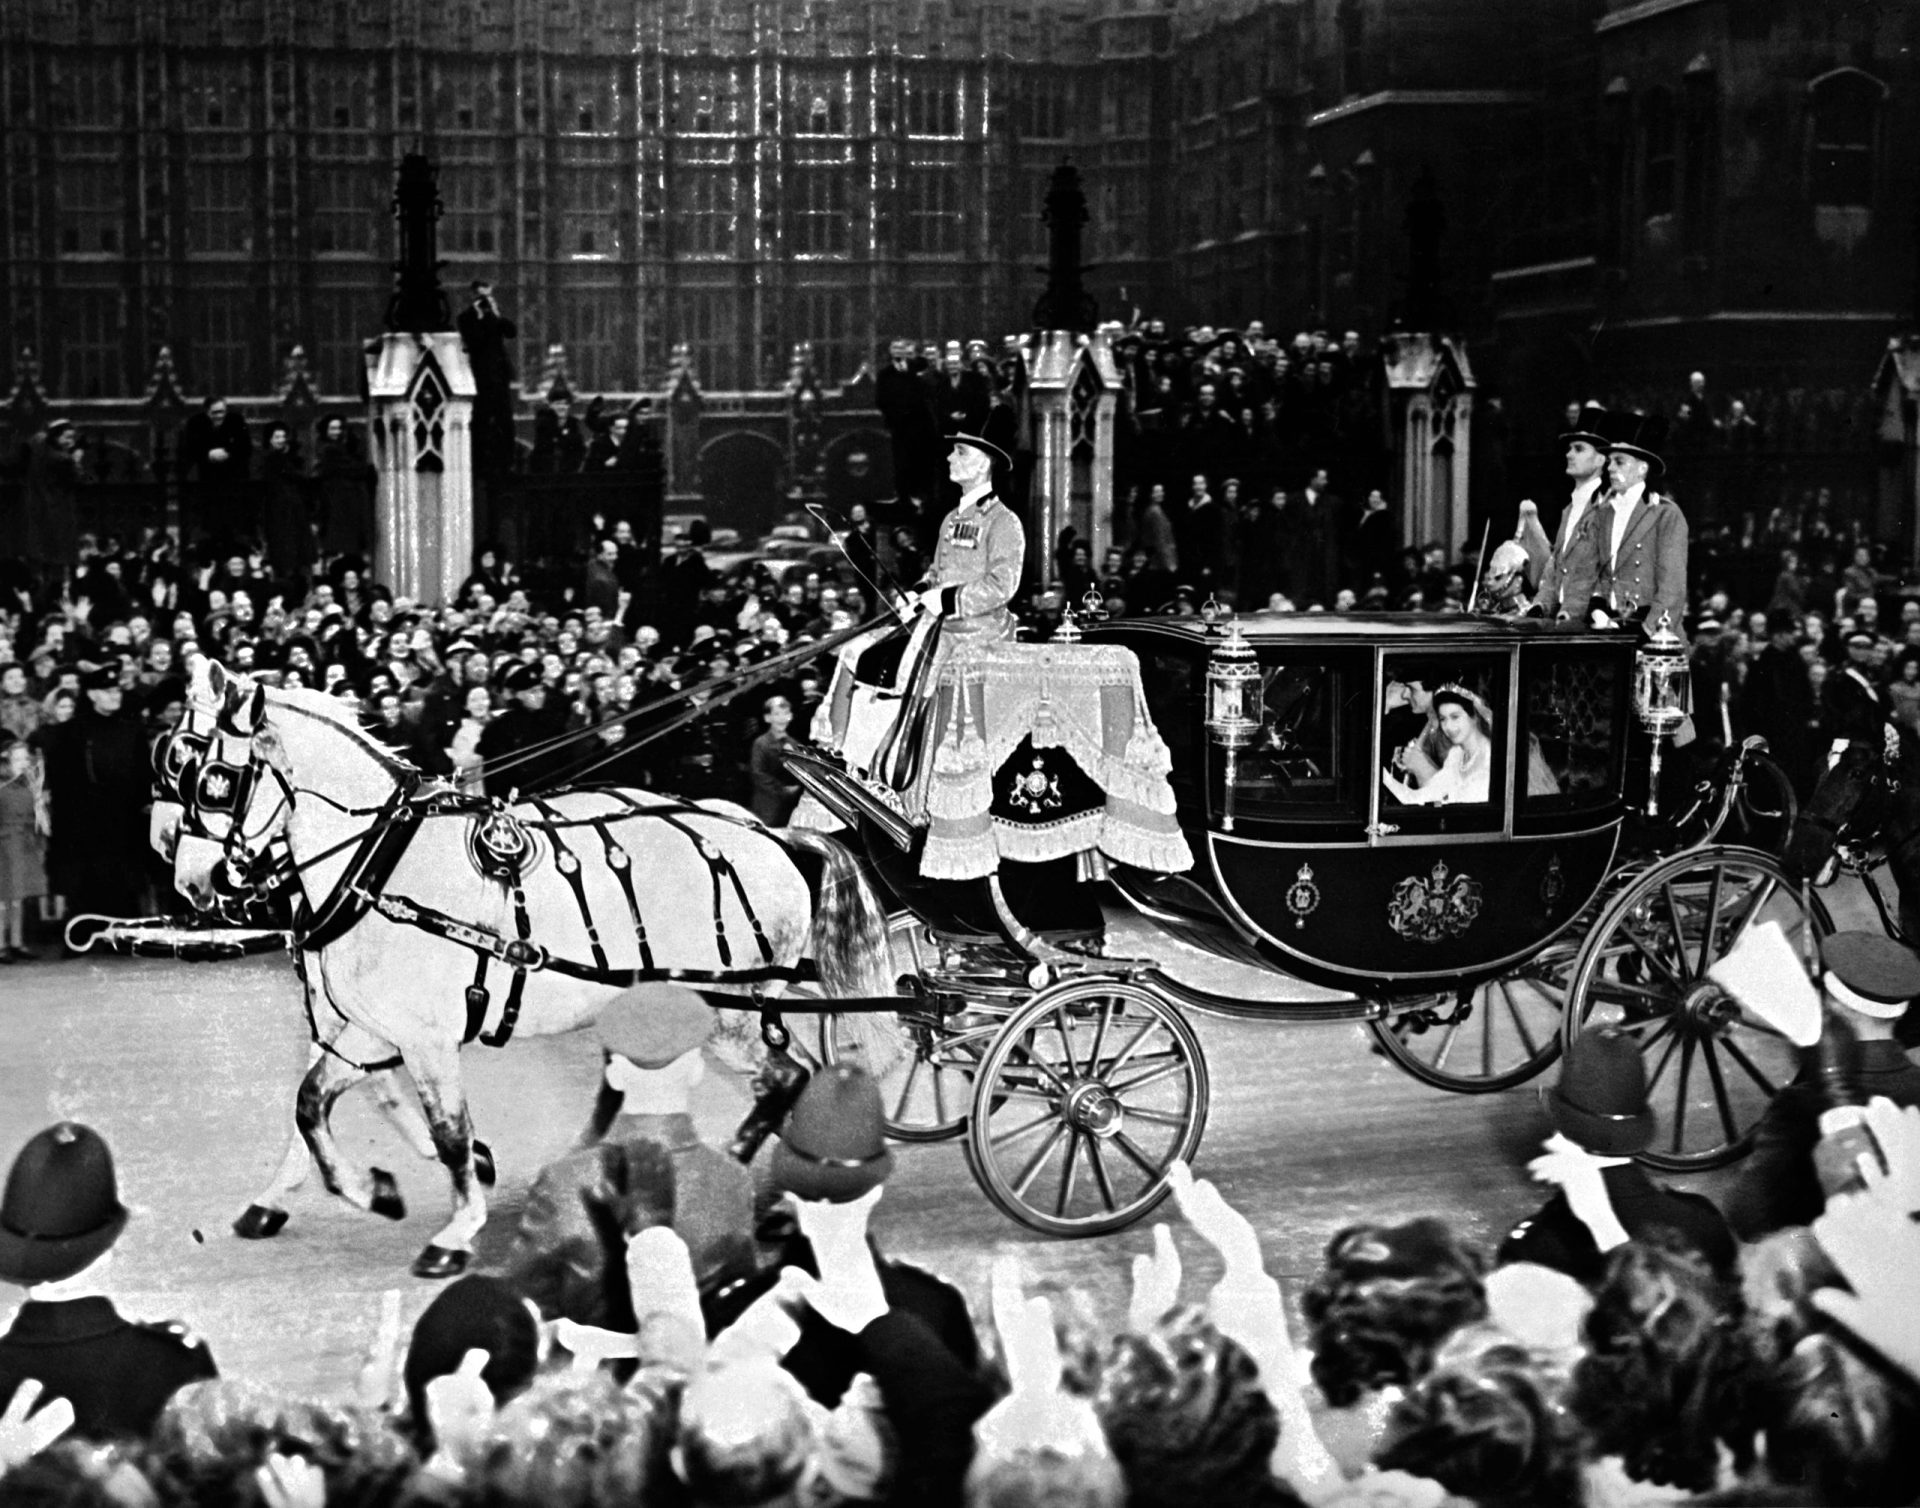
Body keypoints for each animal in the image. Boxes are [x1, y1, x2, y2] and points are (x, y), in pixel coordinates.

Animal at [165, 656, 890, 1267]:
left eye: (214, 780)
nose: (191, 881)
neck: (379, 863)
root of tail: (769, 834)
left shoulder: (424, 1039)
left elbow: (450, 1132)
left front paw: (457, 1229)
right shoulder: (370, 1030)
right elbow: (310, 1104)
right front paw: (365, 1191)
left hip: (725, 1011)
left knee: (787, 1078)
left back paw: (734, 1177)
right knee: (768, 1079)